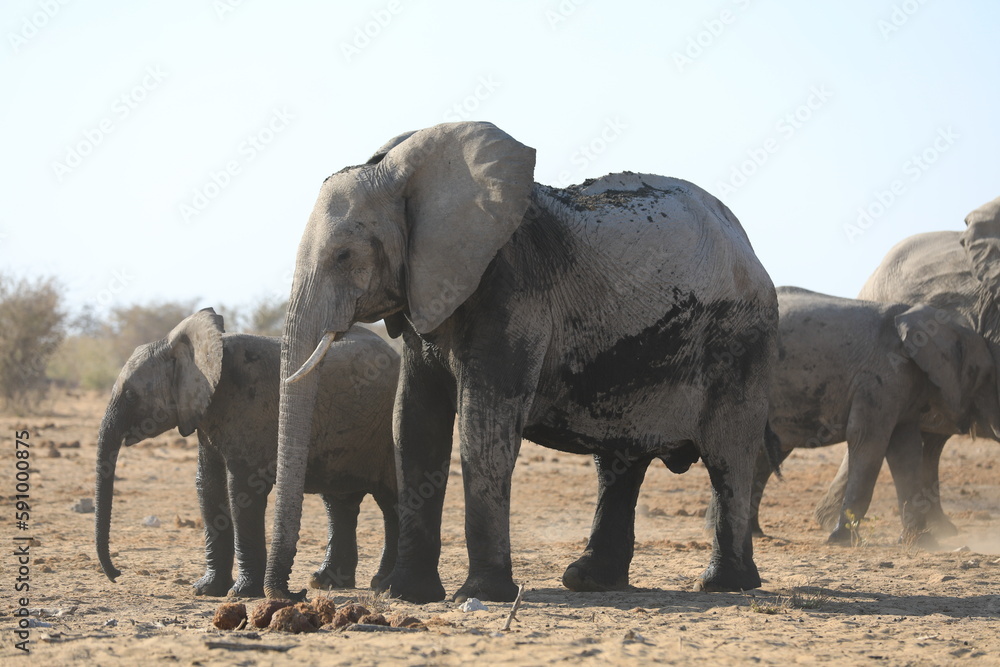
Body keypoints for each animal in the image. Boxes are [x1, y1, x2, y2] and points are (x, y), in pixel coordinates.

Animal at [95, 308, 400, 597]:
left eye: (131, 395)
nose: (117, 574)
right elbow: (208, 485)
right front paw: (205, 590)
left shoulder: (249, 408)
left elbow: (241, 489)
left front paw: (241, 593)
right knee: (339, 503)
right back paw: (325, 582)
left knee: (391, 502)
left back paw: (381, 584)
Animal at [263, 121, 778, 603]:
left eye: (344, 254)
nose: (297, 593)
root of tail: (747, 244)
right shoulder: (426, 292)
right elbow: (413, 424)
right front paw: (405, 594)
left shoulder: (511, 287)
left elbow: (484, 425)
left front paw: (480, 594)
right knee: (619, 464)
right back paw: (587, 581)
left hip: (740, 342)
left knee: (727, 455)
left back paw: (723, 584)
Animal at [748, 287, 1000, 543]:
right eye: (987, 375)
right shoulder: (878, 378)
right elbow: (868, 441)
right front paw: (841, 541)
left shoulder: (903, 383)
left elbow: (906, 450)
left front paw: (922, 542)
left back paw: (756, 533)